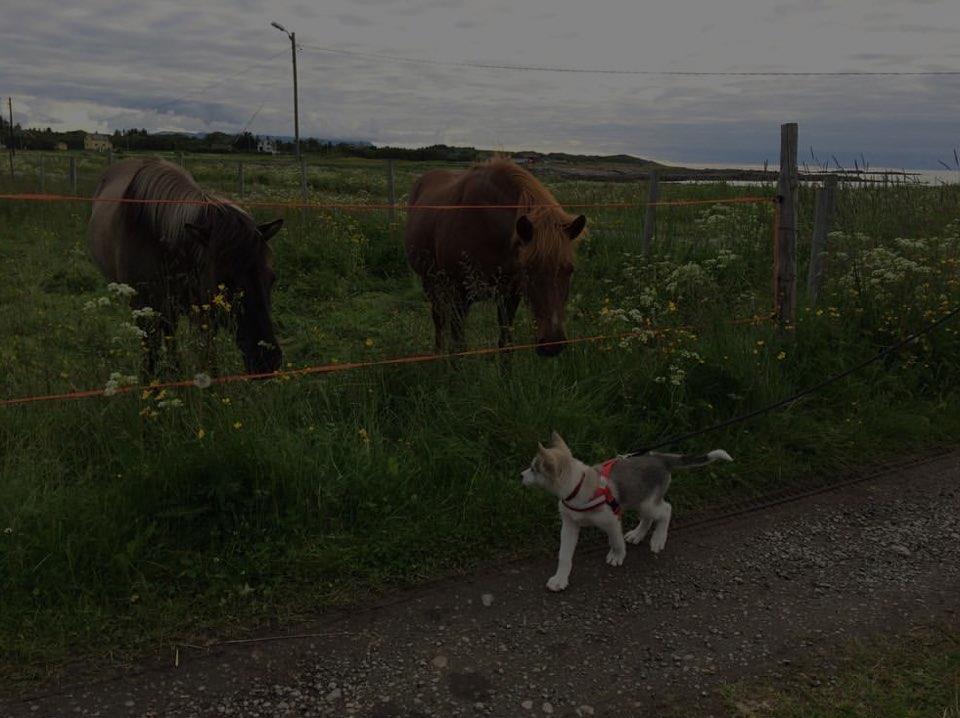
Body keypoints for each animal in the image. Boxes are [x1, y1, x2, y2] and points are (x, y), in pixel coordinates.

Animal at [87, 158, 284, 376]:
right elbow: (150, 354)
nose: (267, 361)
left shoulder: (201, 309)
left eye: (272, 278)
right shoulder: (142, 307)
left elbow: (208, 354)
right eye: (224, 282)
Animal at [404, 160, 584, 358]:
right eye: (527, 269)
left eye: (570, 270)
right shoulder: (460, 297)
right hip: (430, 281)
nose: (552, 345)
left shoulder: (509, 297)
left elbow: (506, 347)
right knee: (438, 319)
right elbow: (458, 348)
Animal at [520, 434, 732, 592]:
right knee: (649, 518)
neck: (577, 485)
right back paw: (637, 535)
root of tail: (660, 458)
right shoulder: (569, 525)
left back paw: (658, 540)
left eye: (533, 468)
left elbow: (615, 540)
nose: (520, 475)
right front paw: (560, 579)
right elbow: (564, 554)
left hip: (647, 503)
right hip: (640, 498)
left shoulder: (611, 520)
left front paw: (617, 556)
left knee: (666, 510)